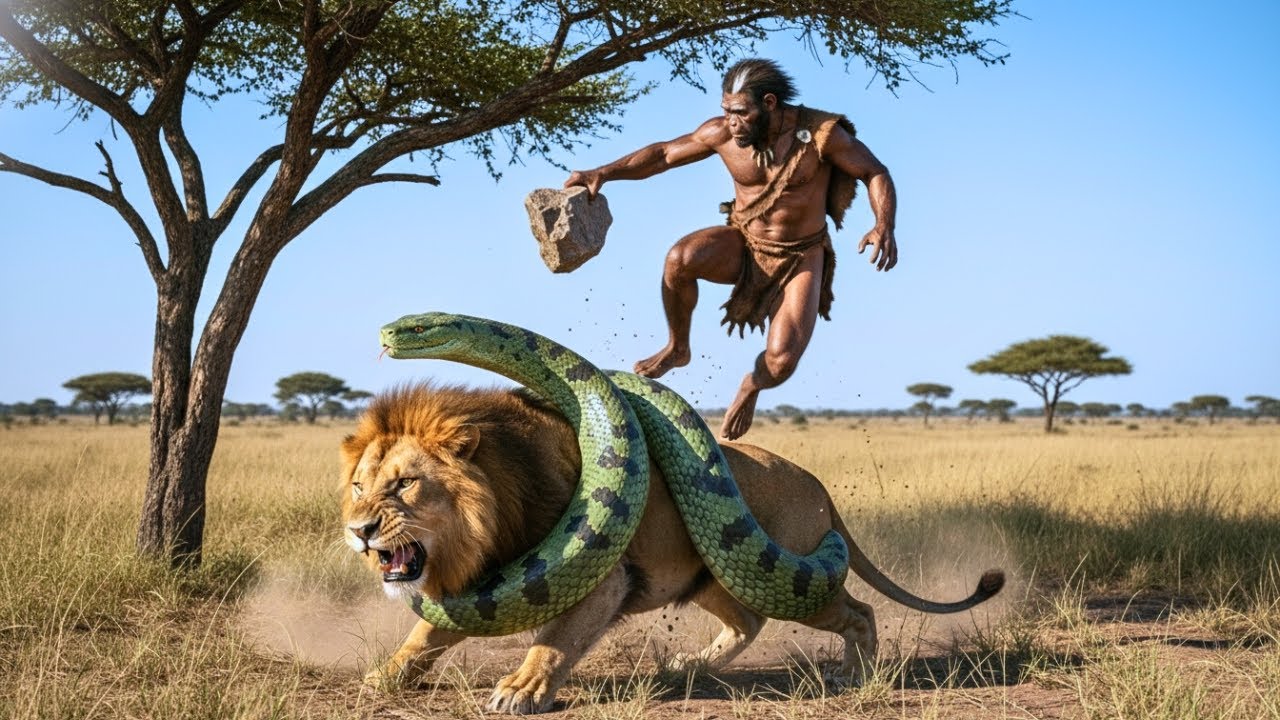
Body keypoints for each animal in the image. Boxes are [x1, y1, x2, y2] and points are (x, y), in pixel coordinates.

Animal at [341, 383, 1003, 714]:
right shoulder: (474, 587)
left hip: (789, 581)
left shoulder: (603, 578)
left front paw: (521, 691)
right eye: (358, 487)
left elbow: (551, 644)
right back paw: (691, 667)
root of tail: (816, 482)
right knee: (748, 622)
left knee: (859, 611)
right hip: (715, 578)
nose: (359, 529)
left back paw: (852, 674)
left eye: (405, 484)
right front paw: (384, 677)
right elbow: (424, 635)